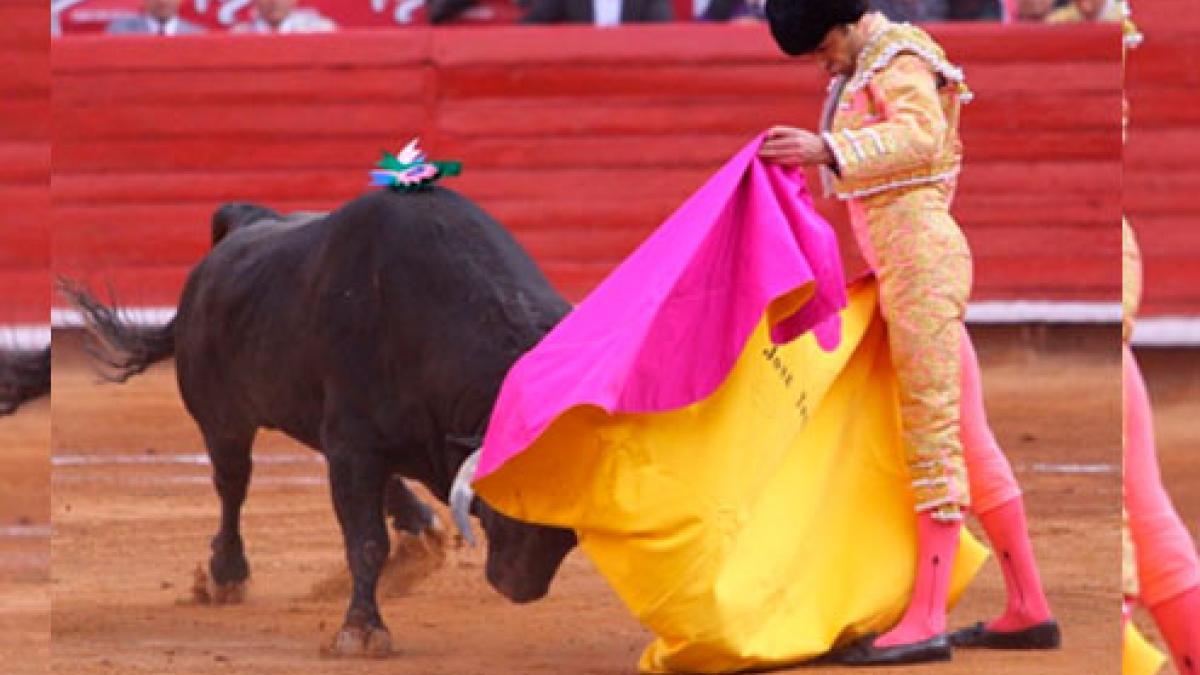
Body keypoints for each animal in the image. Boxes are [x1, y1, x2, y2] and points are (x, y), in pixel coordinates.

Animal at [60, 186, 580, 653]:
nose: (518, 585)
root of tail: (236, 231)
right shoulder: (353, 442)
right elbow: (366, 540)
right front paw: (361, 630)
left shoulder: (358, 441)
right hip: (224, 421)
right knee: (232, 485)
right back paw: (227, 576)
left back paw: (420, 530)